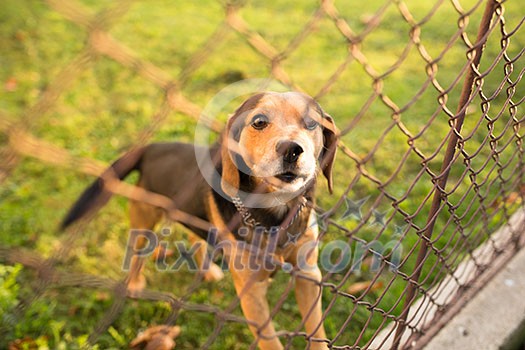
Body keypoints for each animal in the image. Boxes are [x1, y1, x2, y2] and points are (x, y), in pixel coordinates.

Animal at [61, 91, 338, 348]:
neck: (274, 213)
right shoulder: (252, 293)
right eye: (259, 122)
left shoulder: (308, 273)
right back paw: (135, 284)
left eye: (311, 123)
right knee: (137, 254)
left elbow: (316, 331)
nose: (292, 150)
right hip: (144, 219)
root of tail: (152, 148)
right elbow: (270, 341)